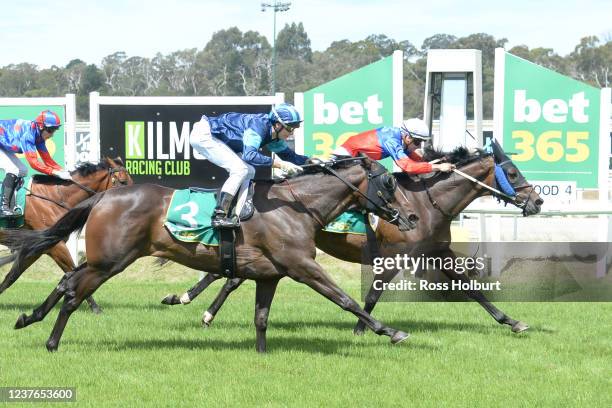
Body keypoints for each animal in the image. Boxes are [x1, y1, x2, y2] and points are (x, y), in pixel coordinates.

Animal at [0, 157, 131, 312]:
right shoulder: (56, 246)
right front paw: (95, 307)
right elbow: (73, 272)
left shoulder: (38, 247)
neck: (55, 197)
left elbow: (11, 277)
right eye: (122, 181)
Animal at [165, 142, 544, 334]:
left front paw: (512, 321)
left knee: (231, 275)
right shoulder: (394, 256)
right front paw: (364, 328)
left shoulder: (436, 250)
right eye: (512, 173)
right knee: (228, 275)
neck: (428, 203)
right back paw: (190, 302)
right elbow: (373, 294)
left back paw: (198, 307)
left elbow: (471, 287)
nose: (538, 201)